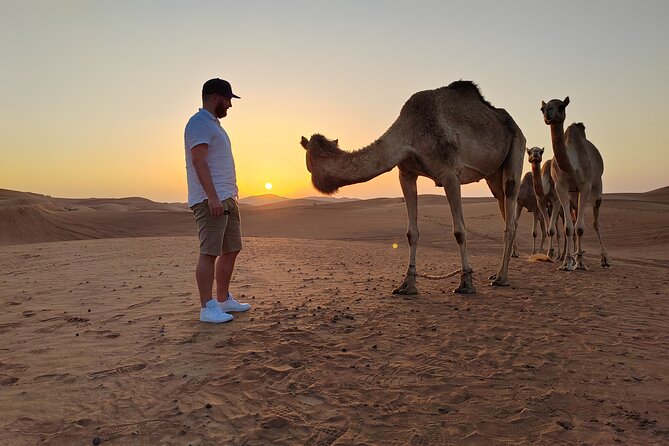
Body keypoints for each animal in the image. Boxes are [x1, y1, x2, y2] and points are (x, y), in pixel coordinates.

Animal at [300, 81, 525, 294]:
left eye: (309, 160)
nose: (313, 179)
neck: (409, 135)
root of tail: (514, 124)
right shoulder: (406, 174)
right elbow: (411, 233)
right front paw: (407, 285)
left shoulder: (450, 173)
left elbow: (459, 231)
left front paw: (466, 283)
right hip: (492, 174)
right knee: (503, 204)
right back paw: (497, 273)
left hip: (517, 147)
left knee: (511, 206)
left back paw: (501, 278)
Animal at [540, 97, 610, 270]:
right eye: (542, 108)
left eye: (561, 106)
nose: (547, 114)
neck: (572, 166)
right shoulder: (561, 188)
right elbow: (568, 227)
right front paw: (567, 262)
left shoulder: (585, 186)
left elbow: (580, 227)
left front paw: (580, 263)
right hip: (574, 194)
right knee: (576, 216)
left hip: (597, 188)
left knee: (595, 223)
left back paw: (604, 259)